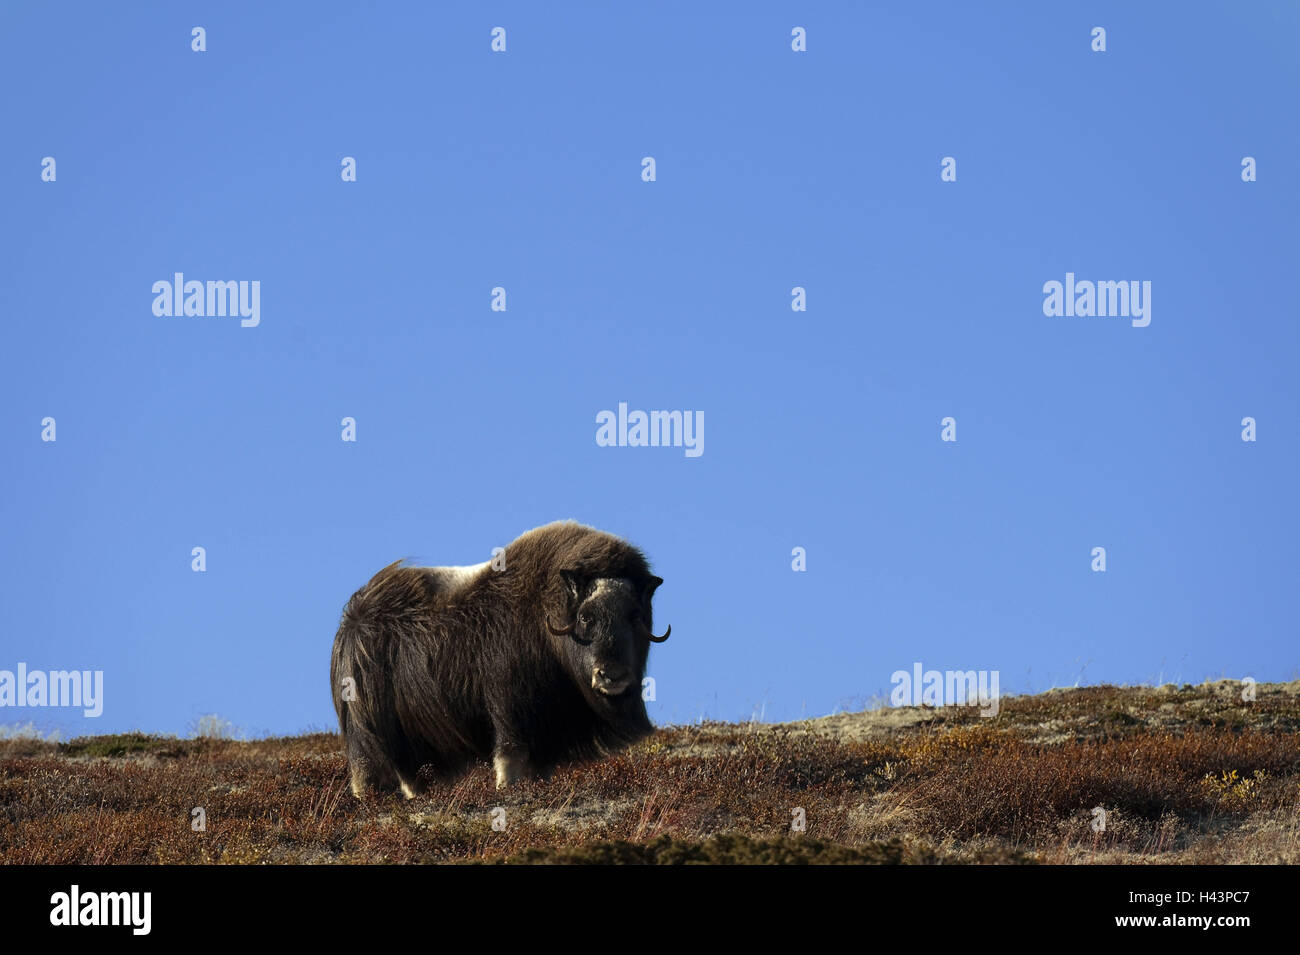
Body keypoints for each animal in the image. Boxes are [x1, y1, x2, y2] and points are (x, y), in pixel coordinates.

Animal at [330, 520, 670, 796]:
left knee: (409, 776)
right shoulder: (509, 704)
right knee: (366, 769)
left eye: (634, 616)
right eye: (586, 617)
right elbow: (509, 754)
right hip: (365, 731)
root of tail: (353, 618)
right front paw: (506, 788)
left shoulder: (548, 731)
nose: (613, 676)